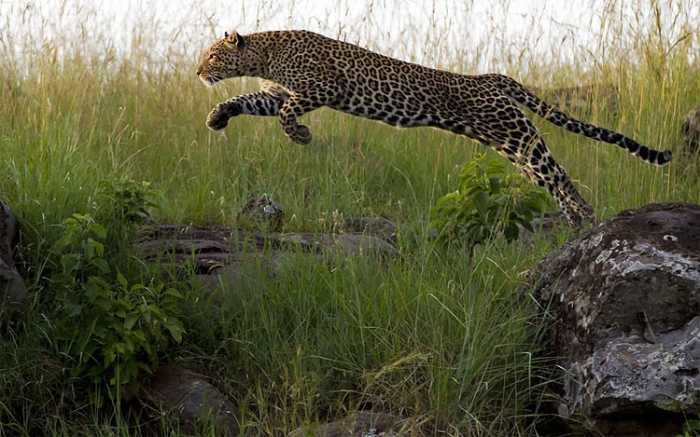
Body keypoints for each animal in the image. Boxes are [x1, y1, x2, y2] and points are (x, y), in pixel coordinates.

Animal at [193, 29, 672, 225]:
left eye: (213, 55)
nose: (198, 72)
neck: (264, 52)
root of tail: (491, 77)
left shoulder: (322, 87)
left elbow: (288, 112)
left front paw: (302, 136)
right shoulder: (275, 92)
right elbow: (246, 101)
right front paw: (217, 117)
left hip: (516, 134)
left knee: (558, 173)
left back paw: (584, 216)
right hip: (508, 144)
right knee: (547, 176)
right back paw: (575, 217)